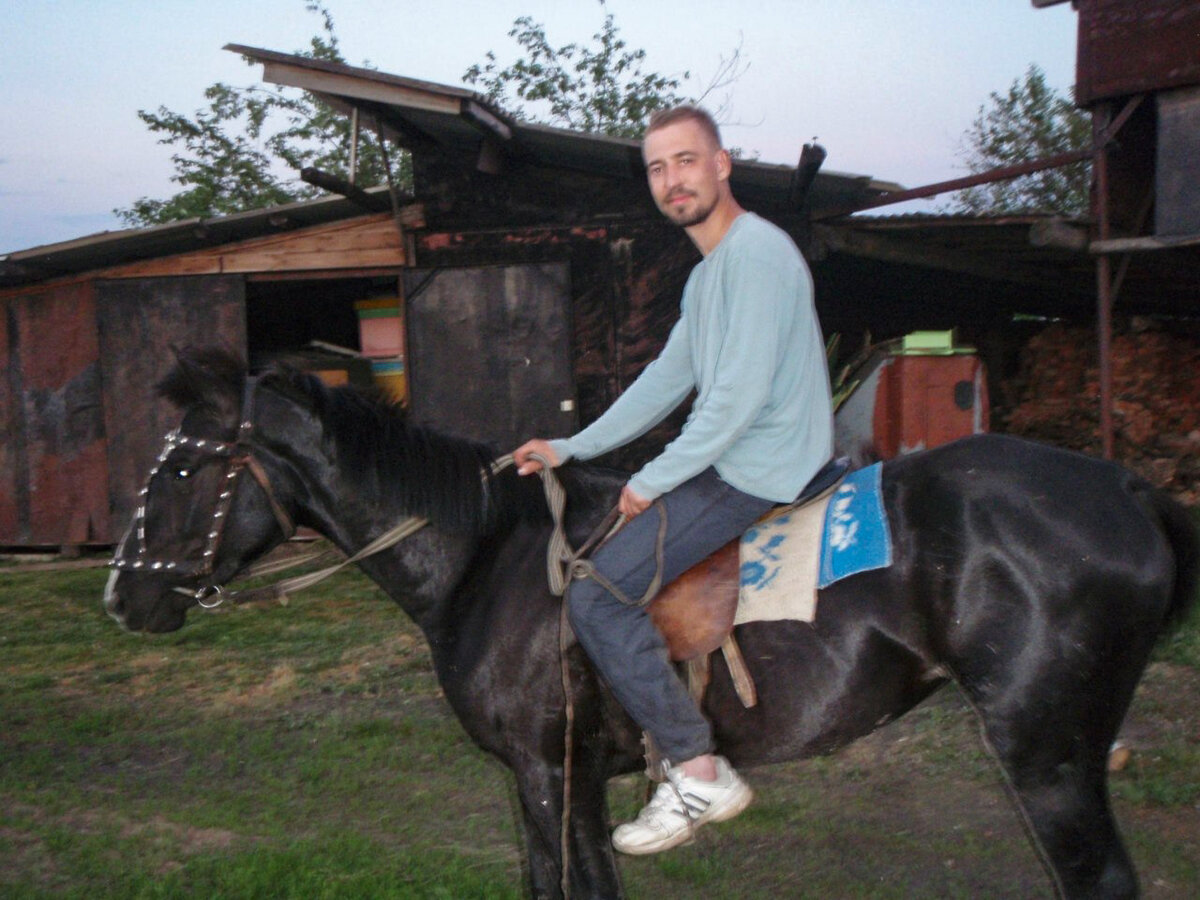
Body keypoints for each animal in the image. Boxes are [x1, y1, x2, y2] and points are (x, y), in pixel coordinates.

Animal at [108, 348, 1195, 897]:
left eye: (181, 467)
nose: (122, 597)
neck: (486, 559)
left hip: (1047, 755)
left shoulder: (552, 774)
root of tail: (1125, 488)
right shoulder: (551, 779)